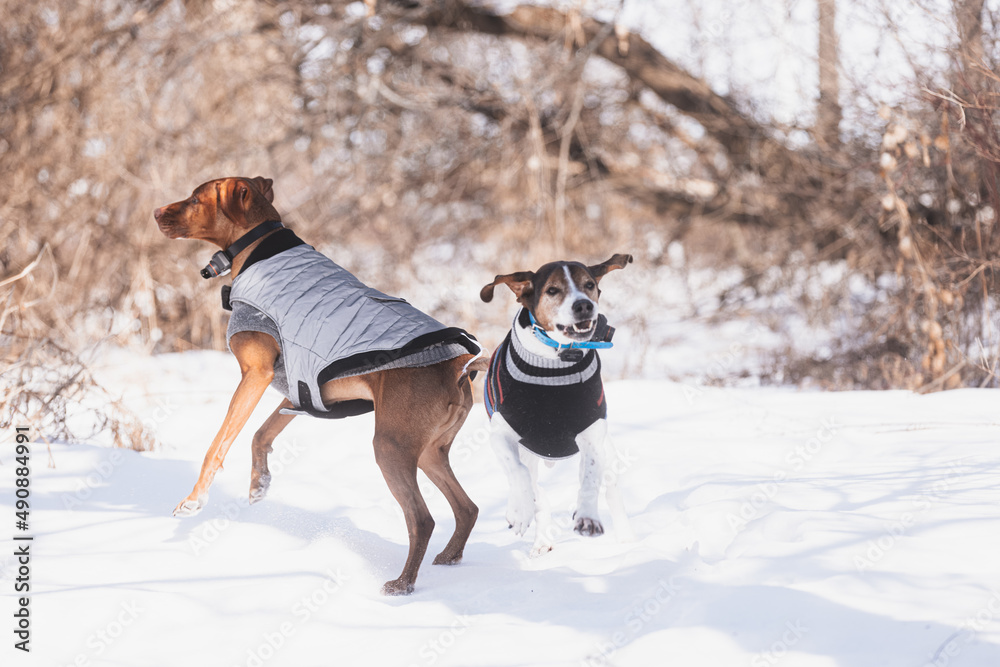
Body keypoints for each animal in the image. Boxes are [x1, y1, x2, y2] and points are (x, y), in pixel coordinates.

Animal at [151, 177, 488, 596]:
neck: (260, 248)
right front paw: (259, 484)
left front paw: (195, 500)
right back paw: (450, 557)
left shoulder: (256, 374)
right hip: (429, 451)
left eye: (196, 199)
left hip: (390, 447)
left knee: (422, 519)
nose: (155, 212)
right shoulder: (298, 387)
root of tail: (457, 365)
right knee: (467, 507)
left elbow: (217, 445)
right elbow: (261, 434)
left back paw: (402, 584)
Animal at [478, 253, 632, 556]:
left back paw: (626, 543)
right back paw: (536, 533)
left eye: (589, 284)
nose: (584, 305)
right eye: (552, 290)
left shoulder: (591, 434)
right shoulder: (501, 435)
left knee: (611, 490)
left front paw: (588, 518)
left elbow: (590, 478)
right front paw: (520, 512)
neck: (555, 359)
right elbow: (521, 475)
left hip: (607, 453)